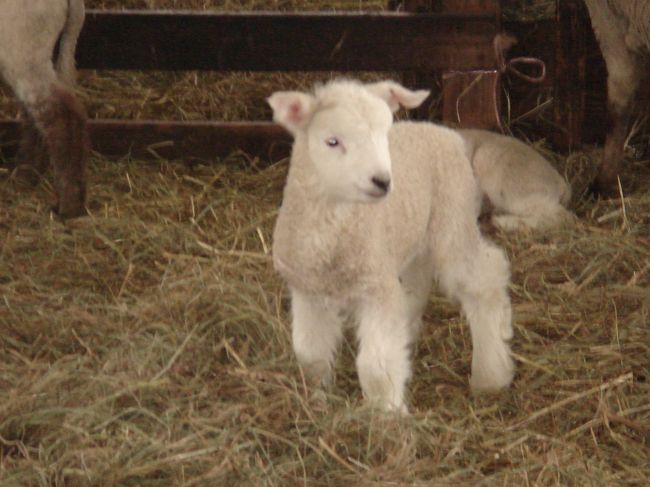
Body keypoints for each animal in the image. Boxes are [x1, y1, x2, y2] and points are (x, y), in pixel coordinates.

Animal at [268, 79, 512, 412]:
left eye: (383, 134)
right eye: (332, 141)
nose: (382, 181)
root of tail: (444, 131)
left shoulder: (377, 290)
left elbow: (375, 367)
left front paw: (386, 414)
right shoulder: (308, 292)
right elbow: (310, 354)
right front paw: (317, 402)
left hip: (454, 216)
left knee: (484, 280)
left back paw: (490, 374)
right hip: (413, 237)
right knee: (417, 286)